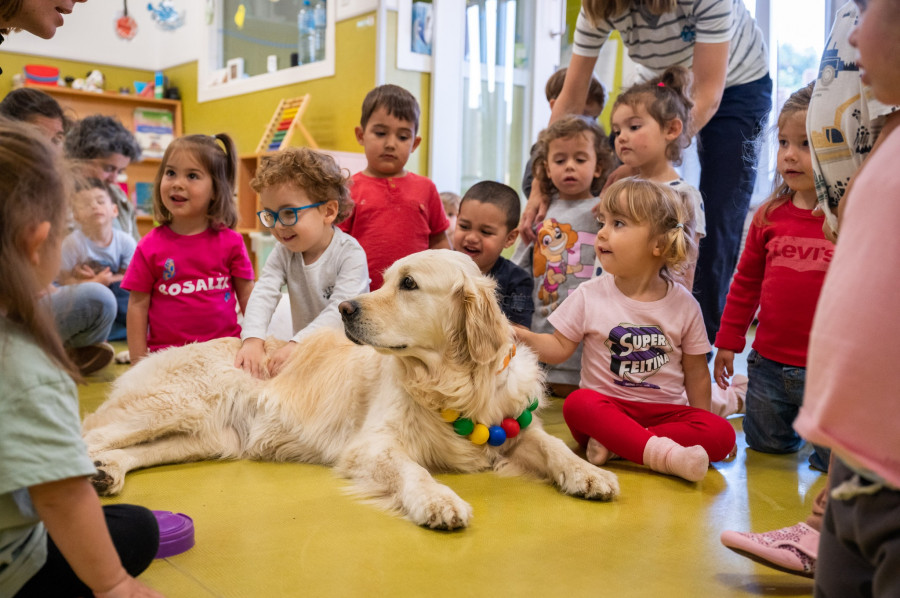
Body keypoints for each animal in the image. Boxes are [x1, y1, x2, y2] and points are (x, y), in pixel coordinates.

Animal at [84, 251, 620, 532]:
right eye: (383, 279)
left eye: (408, 284)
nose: (345, 309)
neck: (452, 383)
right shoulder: (372, 445)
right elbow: (412, 469)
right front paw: (438, 500)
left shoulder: (508, 425)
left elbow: (551, 445)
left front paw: (589, 472)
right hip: (171, 406)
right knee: (91, 434)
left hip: (208, 438)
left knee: (126, 450)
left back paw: (107, 473)